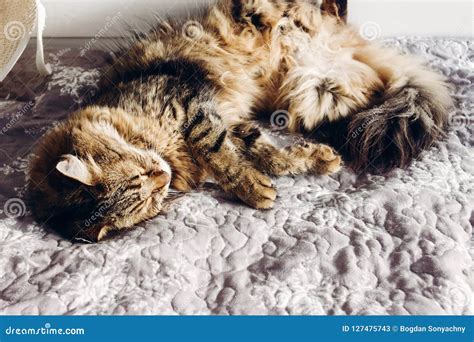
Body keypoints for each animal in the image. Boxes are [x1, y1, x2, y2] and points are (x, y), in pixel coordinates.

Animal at [28, 0, 452, 242]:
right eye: (148, 198)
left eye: (142, 173)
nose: (162, 177)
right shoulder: (226, 120)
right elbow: (264, 152)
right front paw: (293, 168)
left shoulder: (192, 106)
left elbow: (223, 155)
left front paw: (255, 187)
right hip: (316, 93)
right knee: (370, 95)